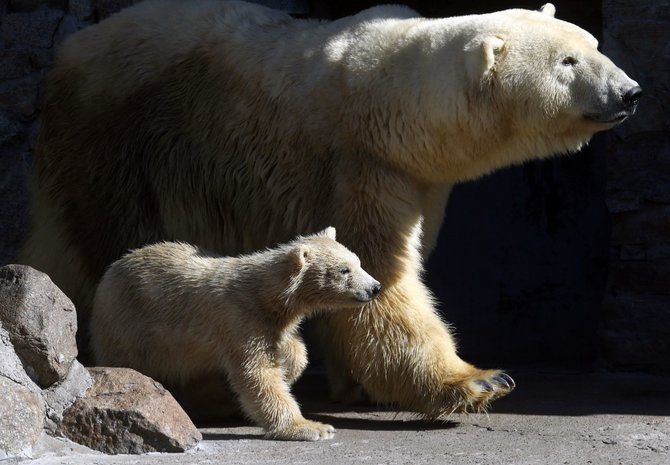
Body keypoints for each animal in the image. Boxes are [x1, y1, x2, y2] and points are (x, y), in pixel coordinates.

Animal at [22, 0, 640, 414]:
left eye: (594, 44)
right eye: (567, 61)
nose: (630, 93)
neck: (393, 100)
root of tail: (67, 54)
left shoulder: (421, 179)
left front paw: (355, 385)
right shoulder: (358, 166)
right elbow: (383, 279)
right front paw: (478, 380)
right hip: (120, 142)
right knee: (103, 241)